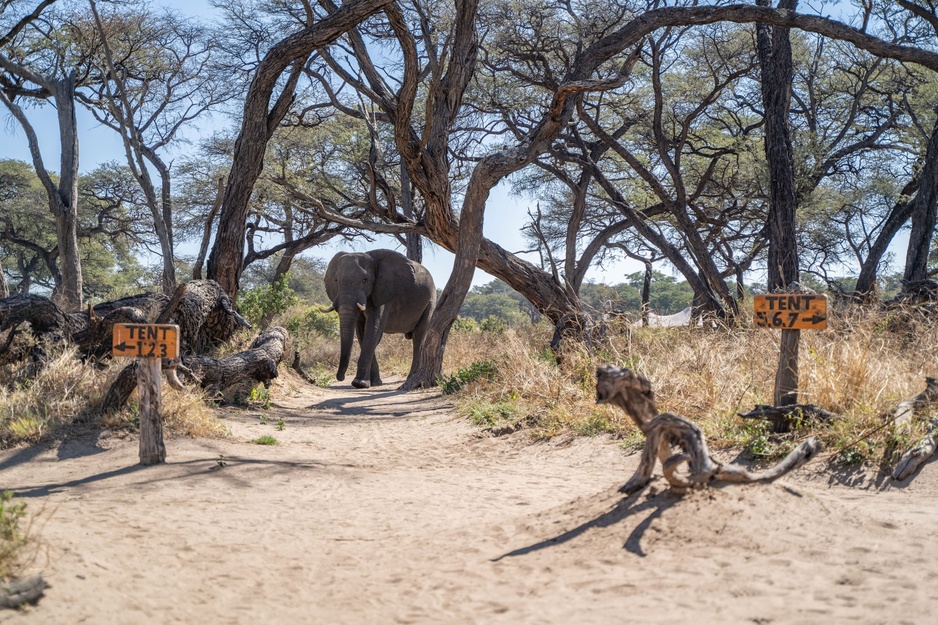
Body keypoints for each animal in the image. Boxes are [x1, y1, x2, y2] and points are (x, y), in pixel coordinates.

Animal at [323, 249, 436, 388]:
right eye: (336, 280)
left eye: (365, 280)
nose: (340, 377)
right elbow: (362, 331)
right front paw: (374, 383)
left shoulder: (385, 290)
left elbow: (373, 328)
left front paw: (360, 383)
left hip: (430, 300)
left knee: (419, 336)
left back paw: (411, 378)